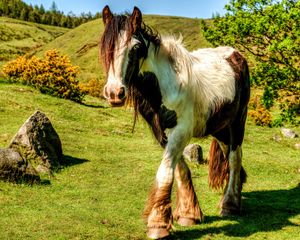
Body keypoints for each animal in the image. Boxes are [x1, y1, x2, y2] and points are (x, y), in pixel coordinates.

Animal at [99, 6, 250, 240]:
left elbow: (165, 171)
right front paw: (188, 214)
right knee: (230, 157)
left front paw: (158, 224)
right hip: (220, 128)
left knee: (234, 159)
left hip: (237, 123)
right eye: (107, 45)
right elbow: (179, 169)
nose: (115, 93)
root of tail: (236, 55)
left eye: (136, 47)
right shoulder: (162, 133)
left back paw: (229, 205)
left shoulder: (181, 131)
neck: (166, 84)